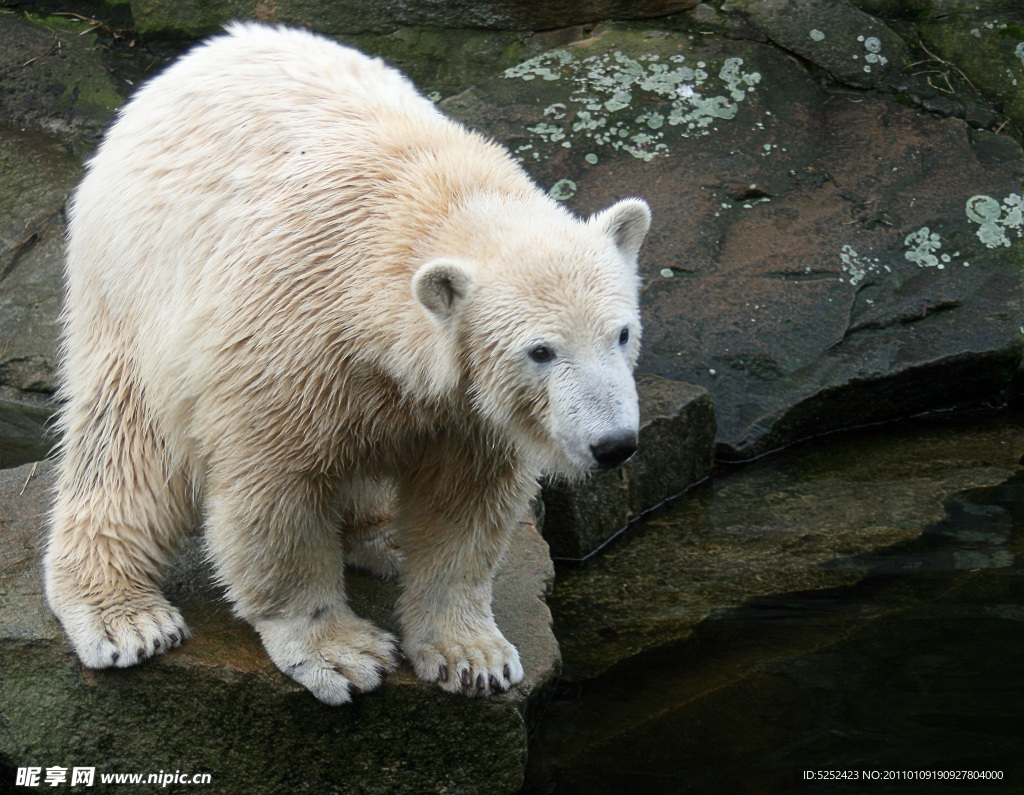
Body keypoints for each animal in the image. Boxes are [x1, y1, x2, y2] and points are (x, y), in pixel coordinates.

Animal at [44, 23, 647, 700]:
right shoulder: (290, 342)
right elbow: (275, 495)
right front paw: (341, 653)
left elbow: (466, 508)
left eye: (622, 334)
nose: (614, 444)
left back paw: (382, 537)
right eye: (540, 351)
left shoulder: (468, 409)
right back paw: (124, 616)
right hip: (136, 283)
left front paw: (472, 655)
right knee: (129, 443)